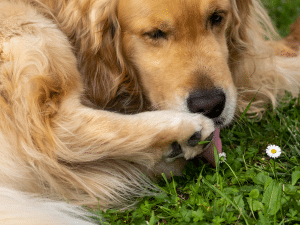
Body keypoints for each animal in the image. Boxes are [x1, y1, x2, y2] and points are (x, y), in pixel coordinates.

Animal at [0, 0, 298, 222]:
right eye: (155, 33)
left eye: (217, 18)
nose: (210, 105)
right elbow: (283, 70)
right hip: (26, 24)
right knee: (54, 132)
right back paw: (183, 132)